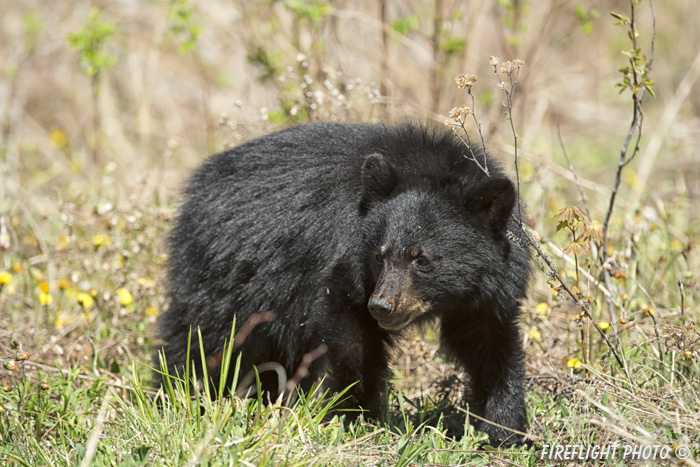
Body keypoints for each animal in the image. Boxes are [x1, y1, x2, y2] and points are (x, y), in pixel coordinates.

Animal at [157, 122, 532, 448]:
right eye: (380, 255)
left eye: (422, 259)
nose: (382, 306)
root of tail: (196, 187)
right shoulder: (344, 261)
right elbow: (351, 336)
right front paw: (354, 414)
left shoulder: (485, 290)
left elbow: (487, 343)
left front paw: (505, 428)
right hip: (229, 274)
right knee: (205, 339)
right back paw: (179, 395)